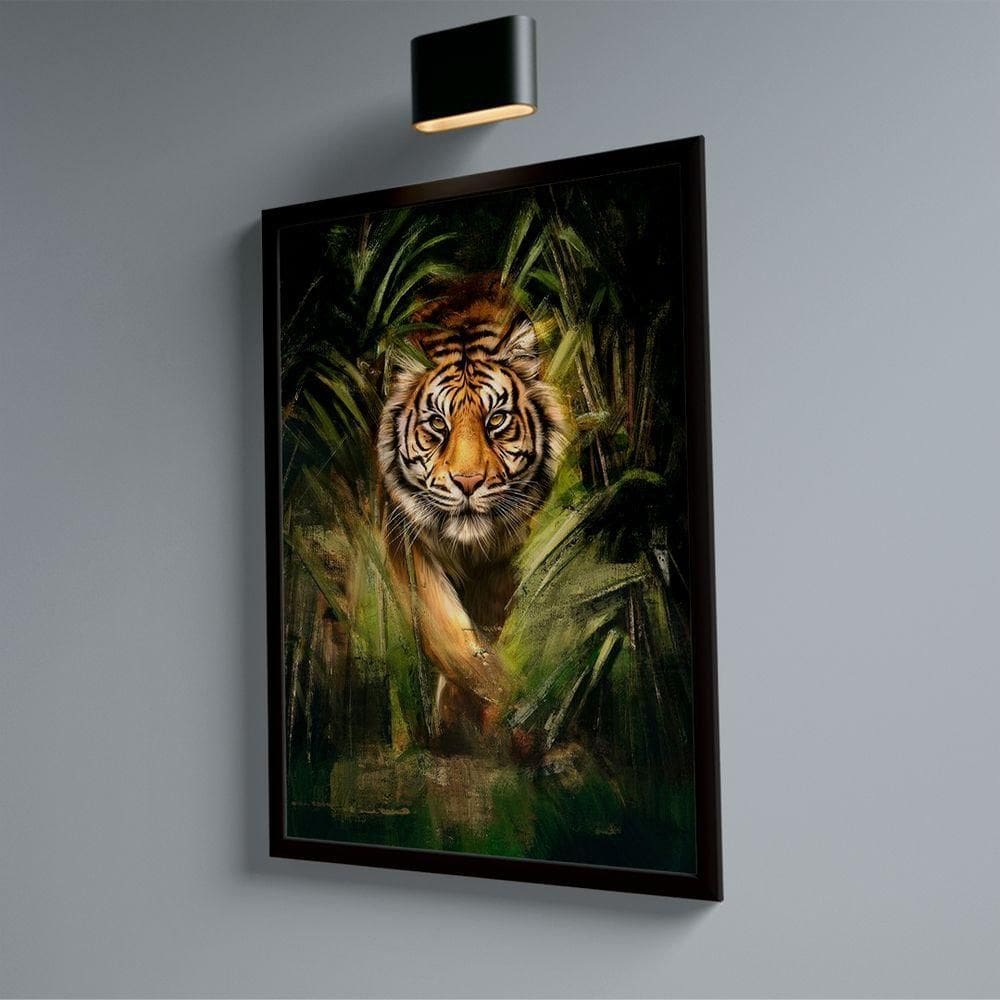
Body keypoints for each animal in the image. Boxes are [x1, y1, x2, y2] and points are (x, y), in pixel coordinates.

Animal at [377, 273, 566, 745]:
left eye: (496, 420)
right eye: (437, 424)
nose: (467, 482)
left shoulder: (503, 557)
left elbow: (483, 631)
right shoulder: (405, 539)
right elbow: (448, 632)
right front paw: (511, 702)